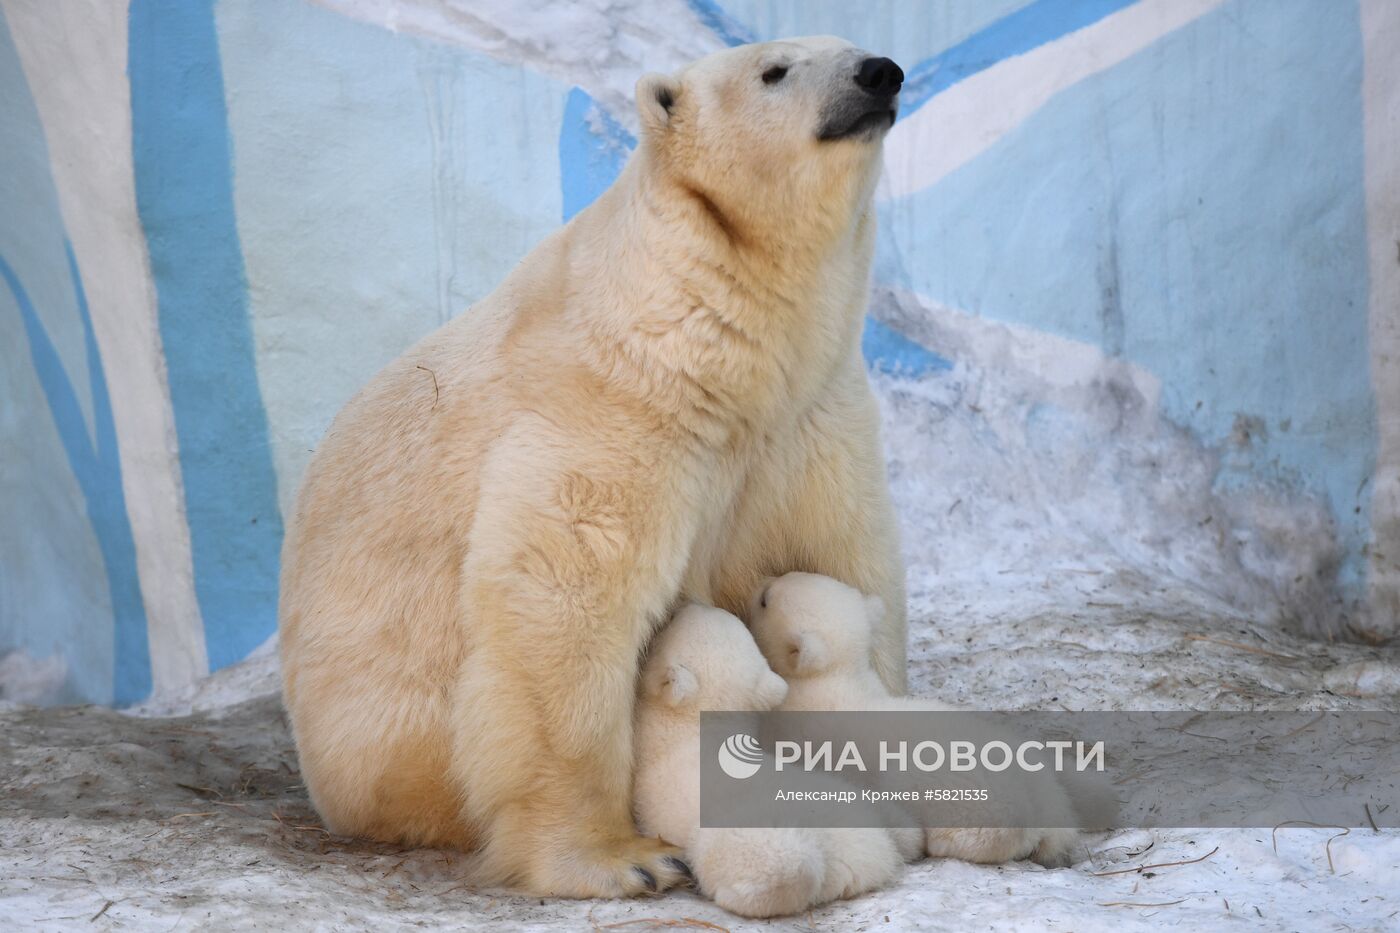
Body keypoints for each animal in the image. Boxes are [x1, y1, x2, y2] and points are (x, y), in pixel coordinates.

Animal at [750, 571, 1108, 868]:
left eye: (766, 598)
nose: (762, 579)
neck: (833, 676)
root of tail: (1038, 819)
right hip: (1047, 792)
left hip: (956, 791)